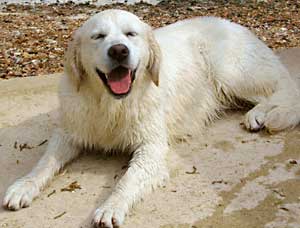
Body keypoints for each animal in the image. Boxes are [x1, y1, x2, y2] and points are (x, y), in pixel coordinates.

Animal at [2, 9, 300, 228]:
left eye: (130, 34)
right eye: (98, 36)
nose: (119, 50)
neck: (111, 104)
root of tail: (231, 22)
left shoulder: (152, 147)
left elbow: (128, 179)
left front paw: (111, 207)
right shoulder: (69, 132)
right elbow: (44, 164)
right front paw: (23, 186)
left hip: (230, 71)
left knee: (285, 88)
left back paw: (262, 115)